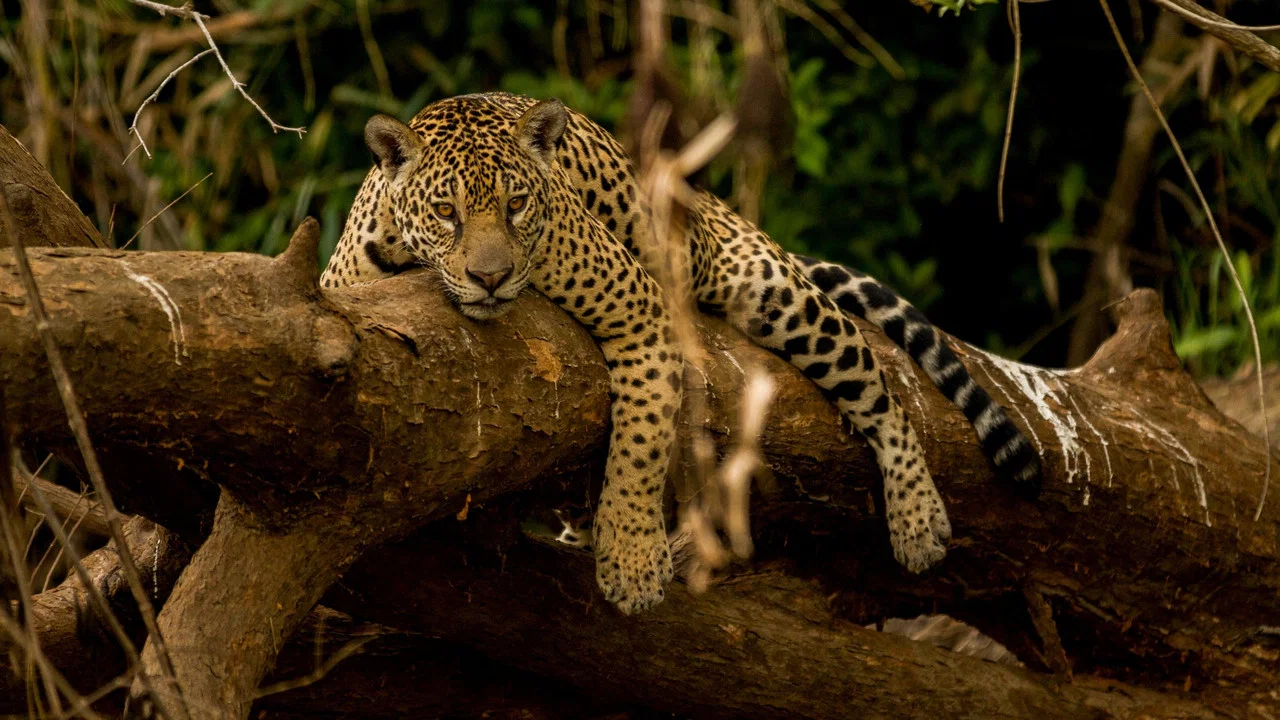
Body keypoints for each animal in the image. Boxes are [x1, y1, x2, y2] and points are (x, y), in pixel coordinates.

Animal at [322, 93, 1041, 613]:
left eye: (517, 203)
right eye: (446, 211)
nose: (491, 277)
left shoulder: (641, 307)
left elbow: (640, 445)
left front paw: (633, 563)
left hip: (776, 295)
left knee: (880, 389)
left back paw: (918, 520)